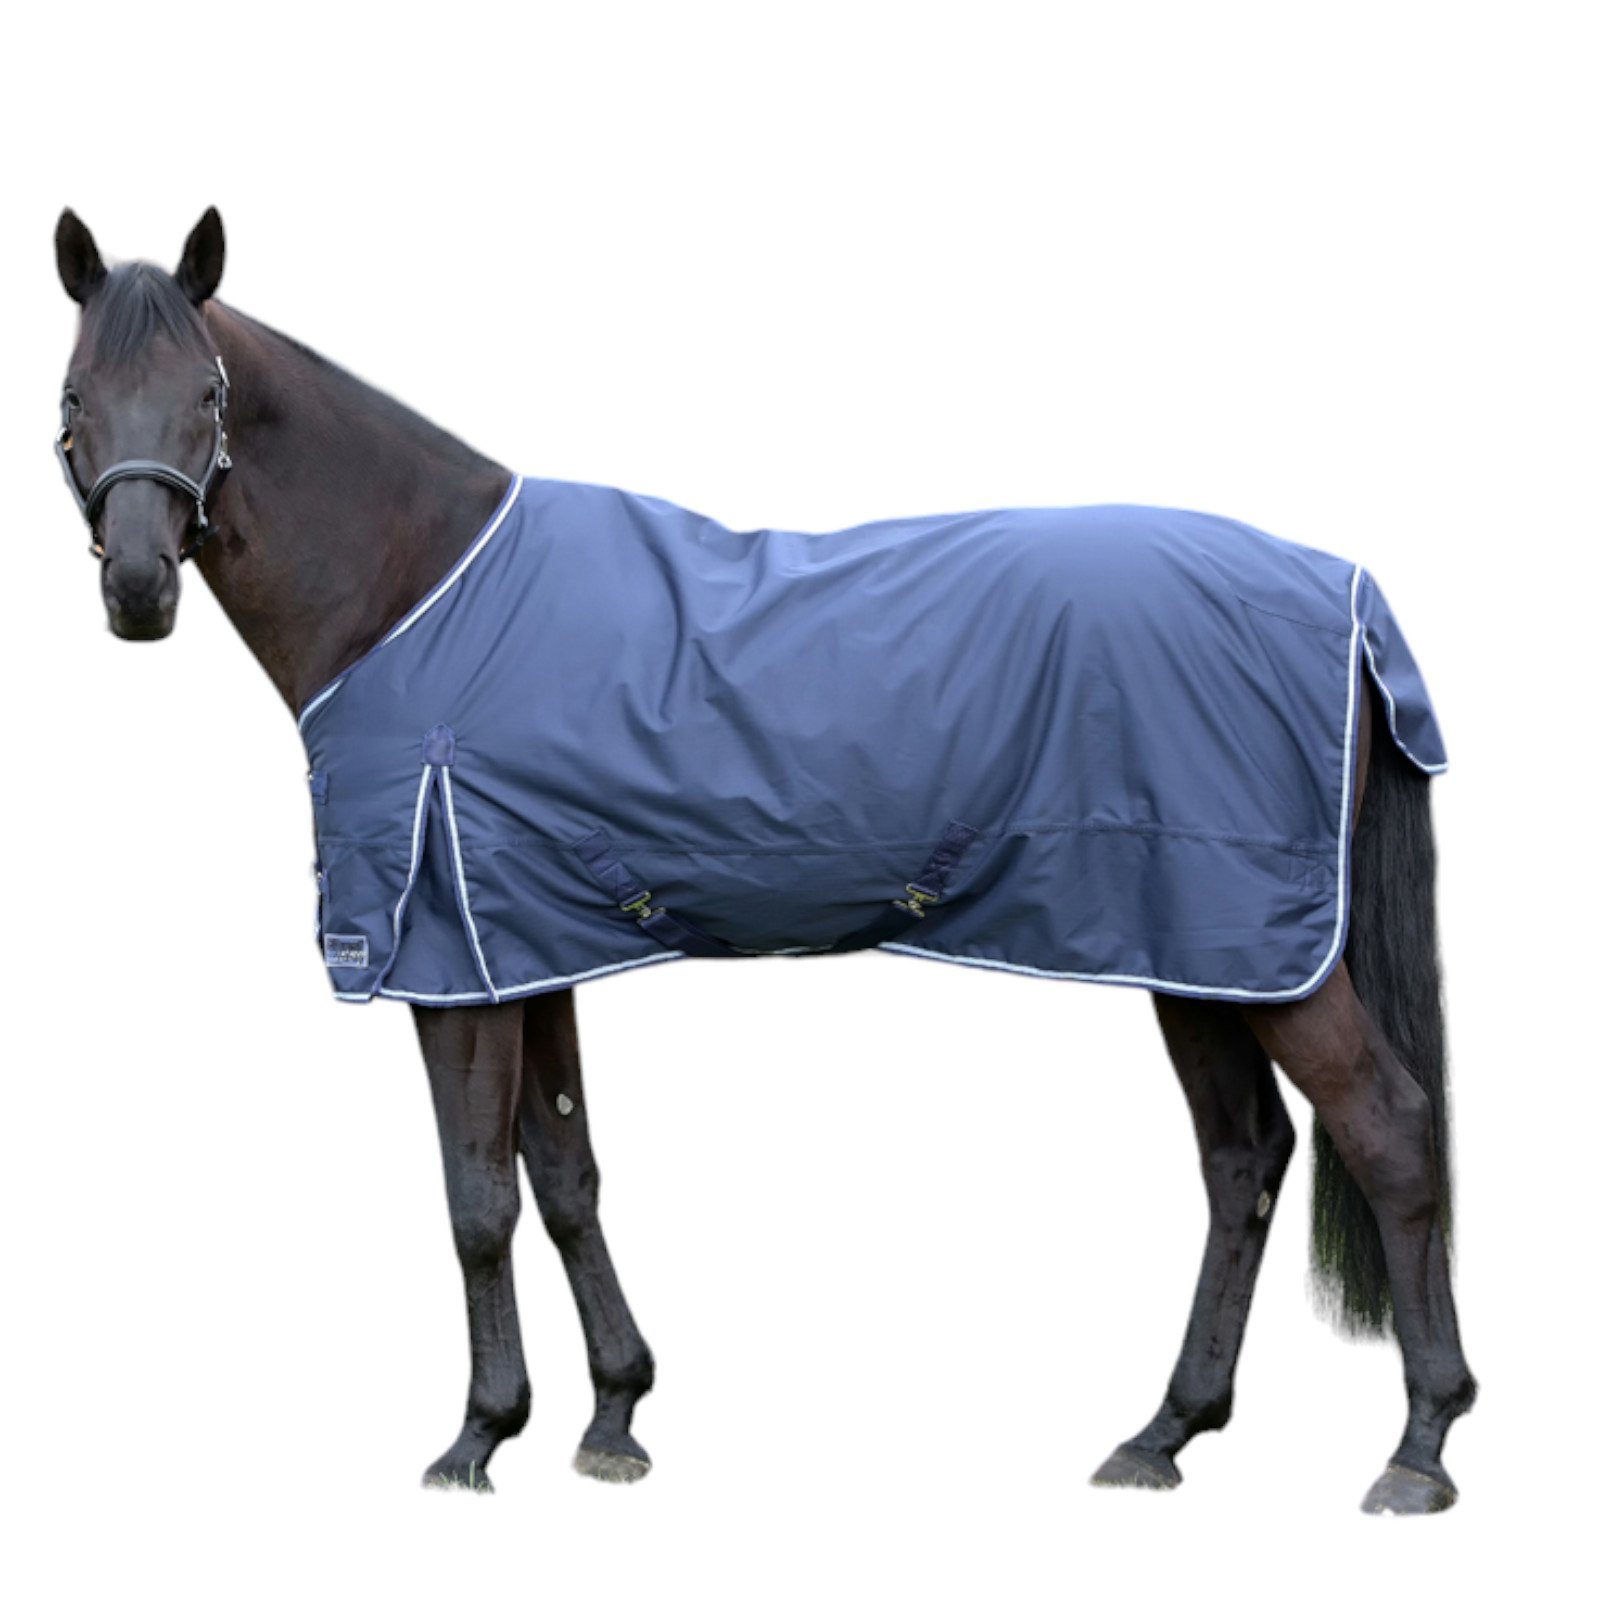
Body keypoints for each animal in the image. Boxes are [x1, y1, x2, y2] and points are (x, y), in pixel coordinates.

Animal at [50, 208, 1476, 1513]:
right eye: (74, 396)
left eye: (208, 393)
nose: (138, 592)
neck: (415, 593)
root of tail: (1347, 595)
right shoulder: (525, 950)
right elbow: (563, 1177)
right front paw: (613, 1415)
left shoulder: (449, 962)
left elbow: (476, 1201)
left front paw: (477, 1437)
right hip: (1198, 949)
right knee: (1244, 1161)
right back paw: (1163, 1433)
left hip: (1268, 955)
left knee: (1390, 1132)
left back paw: (1418, 1447)